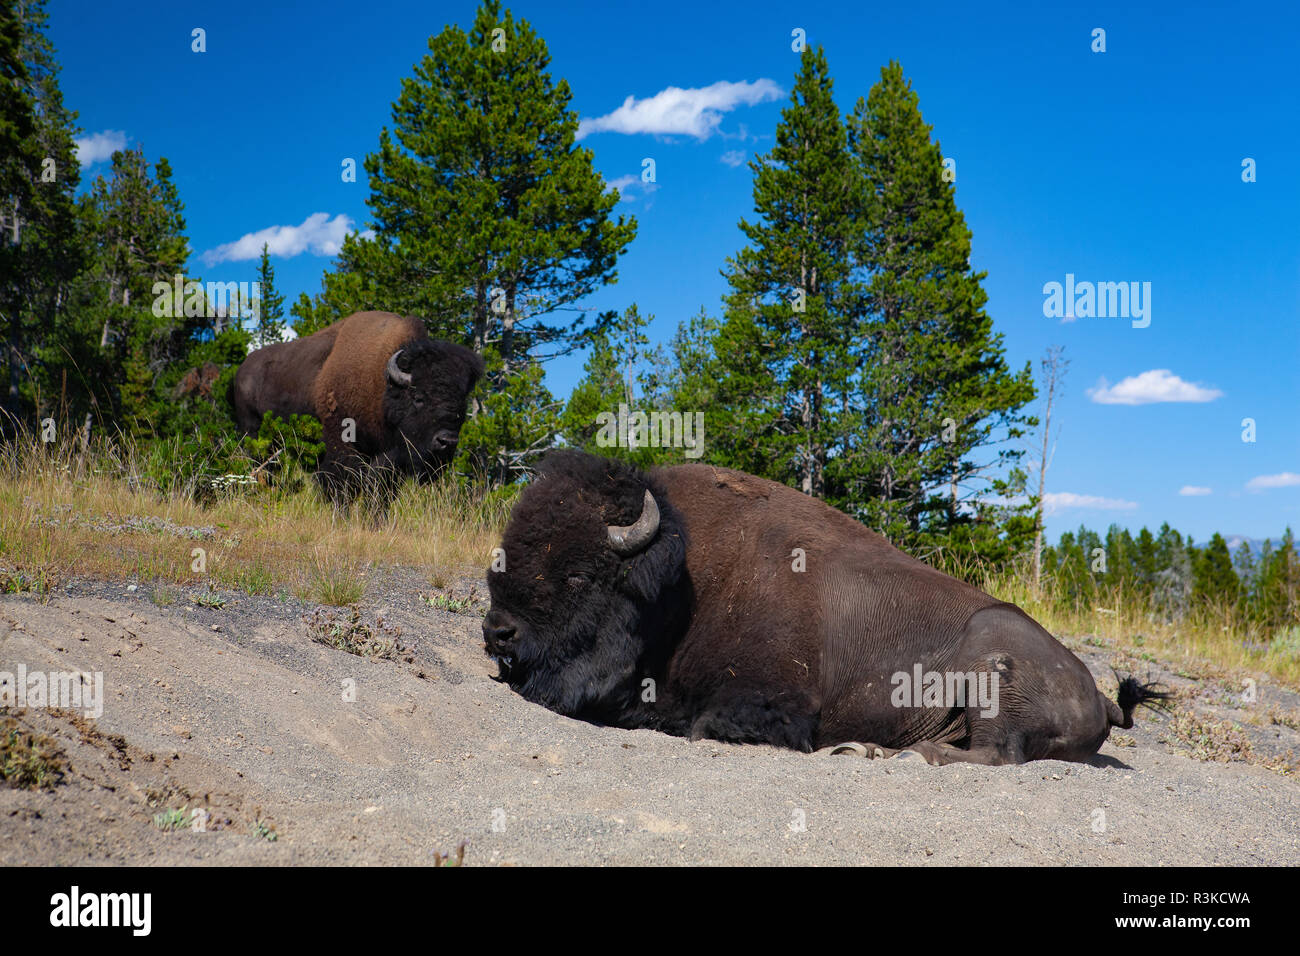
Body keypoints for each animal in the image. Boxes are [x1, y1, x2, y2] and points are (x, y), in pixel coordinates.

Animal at [233, 312, 483, 502]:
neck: (382, 385)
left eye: (461, 404)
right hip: (253, 436)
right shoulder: (341, 444)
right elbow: (342, 485)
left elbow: (380, 490)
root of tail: (241, 371)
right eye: (419, 397)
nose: (447, 441)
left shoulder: (389, 457)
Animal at [483, 450, 1175, 770]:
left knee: (998, 754)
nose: (498, 633)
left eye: (579, 573)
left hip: (990, 652)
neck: (680, 581)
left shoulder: (771, 708)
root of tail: (1098, 692)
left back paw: (890, 755)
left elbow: (700, 724)